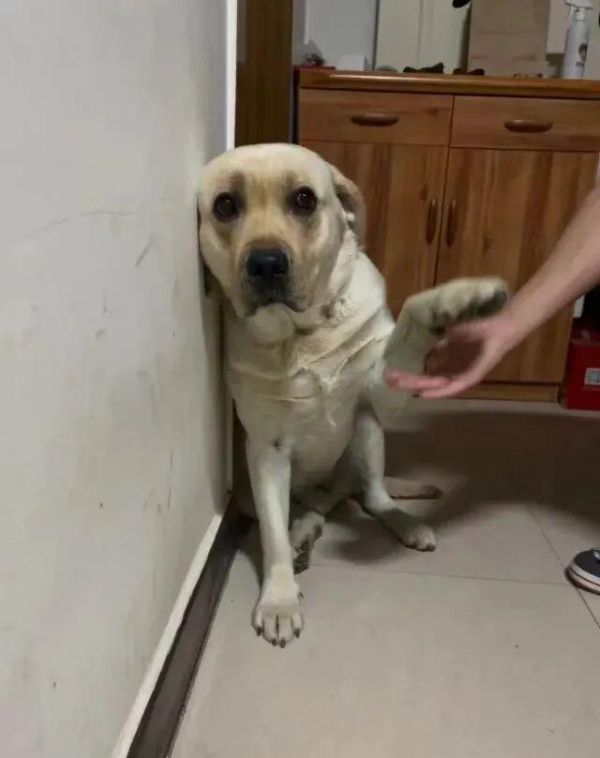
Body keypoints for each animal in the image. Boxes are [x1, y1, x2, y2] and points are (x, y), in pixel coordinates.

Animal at [198, 144, 507, 647]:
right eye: (225, 206)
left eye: (304, 199)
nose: (266, 263)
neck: (303, 333)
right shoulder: (266, 450)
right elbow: (272, 536)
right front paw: (279, 599)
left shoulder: (383, 390)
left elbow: (412, 317)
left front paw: (455, 299)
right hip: (256, 488)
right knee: (308, 512)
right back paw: (302, 537)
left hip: (368, 435)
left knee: (372, 497)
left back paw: (399, 521)